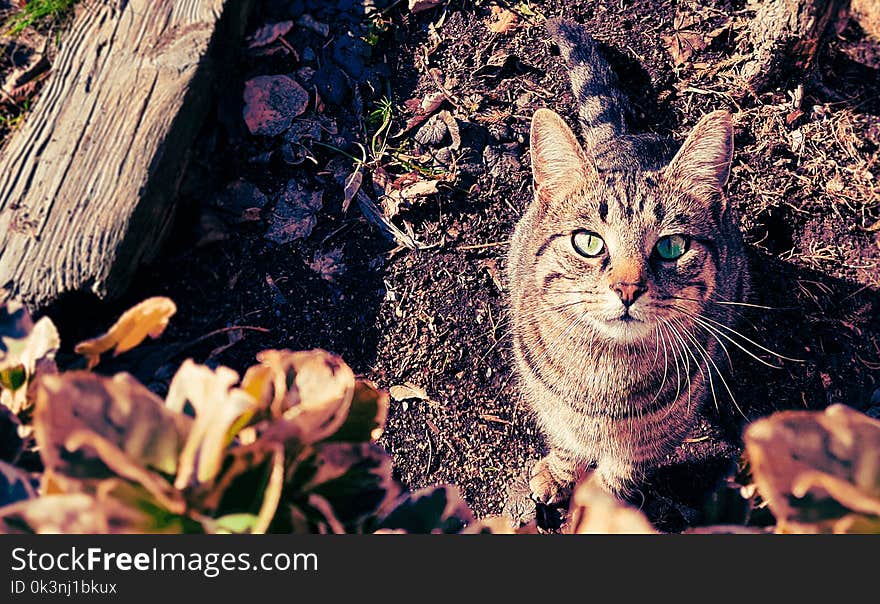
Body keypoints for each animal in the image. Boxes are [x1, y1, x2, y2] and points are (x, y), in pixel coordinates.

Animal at [508, 18, 748, 500]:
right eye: (588, 242)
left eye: (671, 247)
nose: (628, 288)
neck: (605, 372)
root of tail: (623, 136)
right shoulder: (554, 408)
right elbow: (566, 445)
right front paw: (558, 475)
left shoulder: (652, 439)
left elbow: (619, 475)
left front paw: (602, 505)